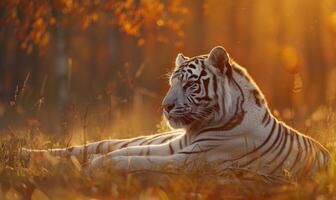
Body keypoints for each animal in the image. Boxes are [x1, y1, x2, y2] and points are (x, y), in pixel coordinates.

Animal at [24, 46, 330, 180]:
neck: (197, 127)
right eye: (172, 82)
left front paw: (97, 166)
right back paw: (28, 154)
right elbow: (125, 152)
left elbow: (136, 159)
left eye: (190, 84)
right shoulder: (175, 147)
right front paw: (91, 164)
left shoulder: (190, 158)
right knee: (94, 144)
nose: (165, 106)